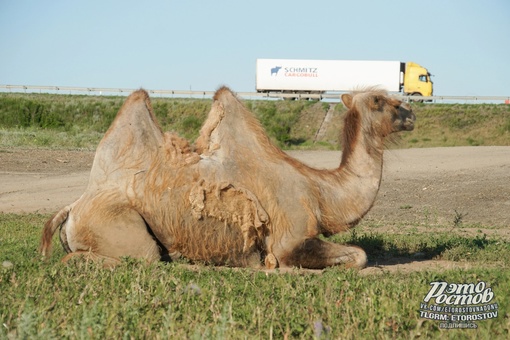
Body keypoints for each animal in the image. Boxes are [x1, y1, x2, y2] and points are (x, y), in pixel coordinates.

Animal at [39, 86, 414, 270]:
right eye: (379, 101)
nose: (410, 112)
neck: (321, 192)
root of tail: (73, 207)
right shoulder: (289, 240)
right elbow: (359, 256)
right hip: (117, 225)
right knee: (136, 256)